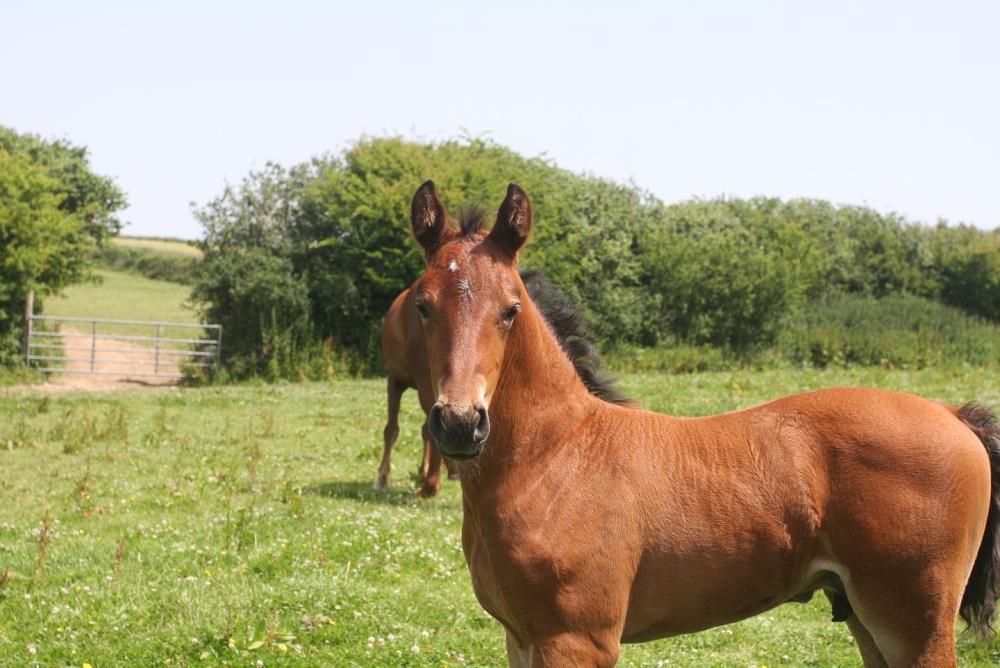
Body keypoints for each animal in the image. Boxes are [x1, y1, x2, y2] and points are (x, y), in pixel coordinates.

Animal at [404, 179, 1000, 668]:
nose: (459, 423)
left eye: (510, 311)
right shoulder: (521, 638)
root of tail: (954, 416)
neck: (556, 459)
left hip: (913, 622)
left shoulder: (576, 640)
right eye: (422, 306)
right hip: (865, 618)